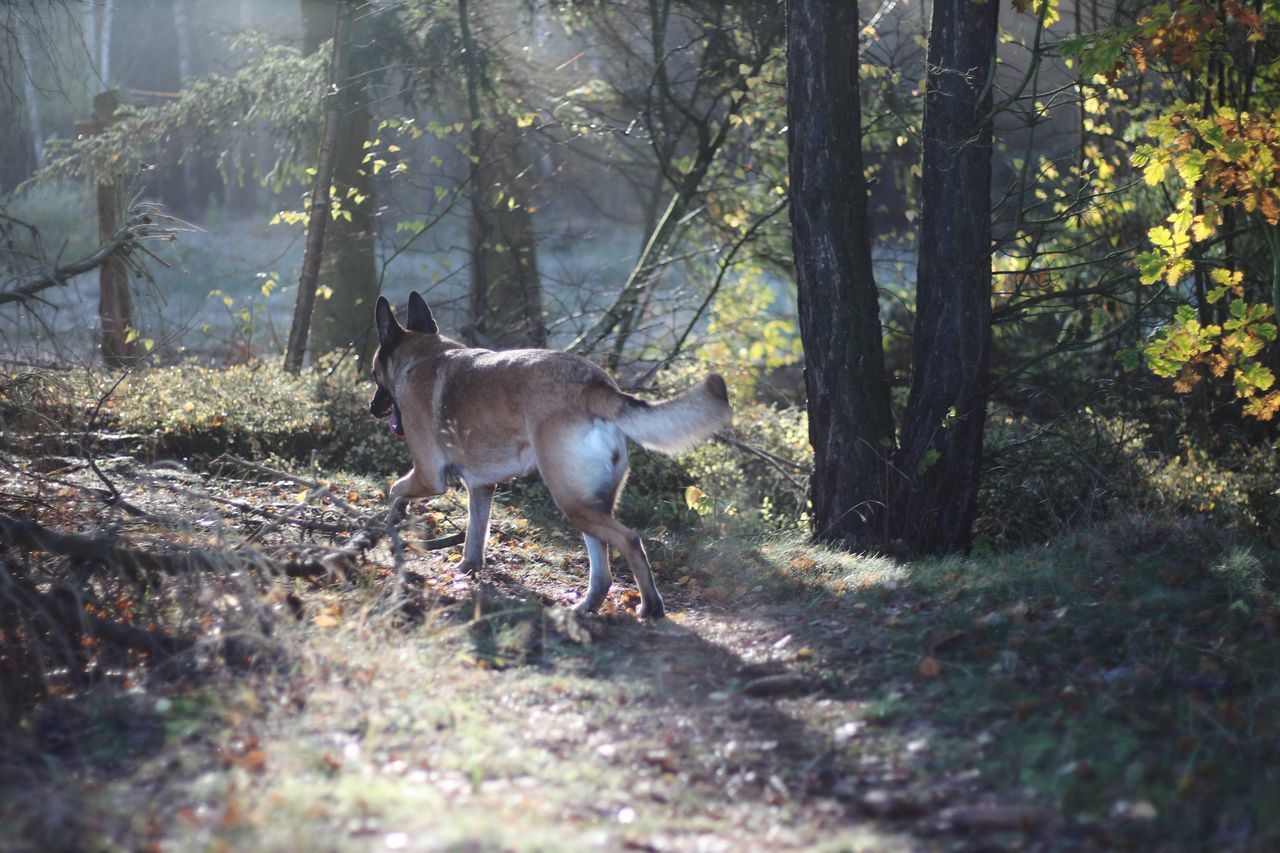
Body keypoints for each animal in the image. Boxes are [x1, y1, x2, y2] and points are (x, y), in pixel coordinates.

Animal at [371, 289, 732, 614]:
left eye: (375, 374)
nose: (372, 408)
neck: (423, 356)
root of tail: (596, 386)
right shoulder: (482, 488)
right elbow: (475, 537)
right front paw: (465, 570)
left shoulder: (429, 476)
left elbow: (394, 489)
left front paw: (391, 522)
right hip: (588, 504)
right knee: (602, 567)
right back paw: (586, 607)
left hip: (571, 500)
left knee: (629, 539)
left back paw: (650, 607)